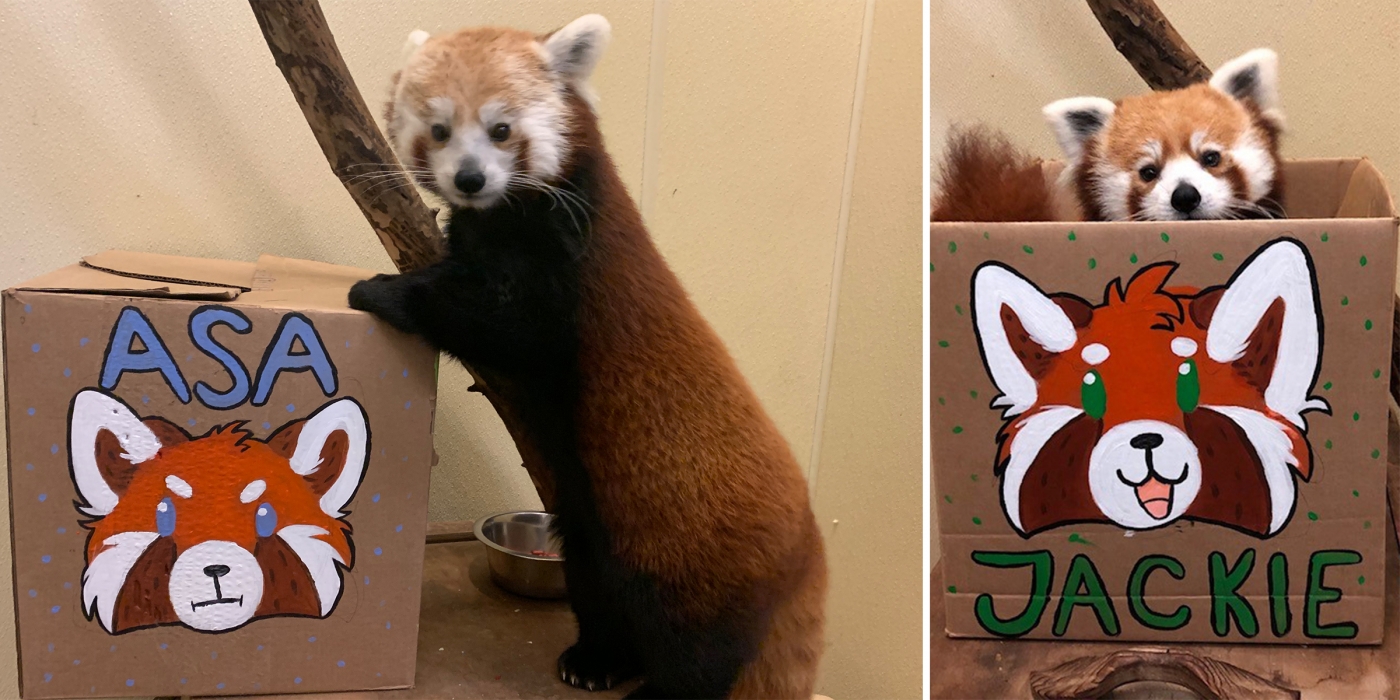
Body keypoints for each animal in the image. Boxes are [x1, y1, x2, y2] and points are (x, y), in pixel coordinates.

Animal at [350, 12, 823, 700]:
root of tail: (808, 547)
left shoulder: (564, 267)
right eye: (438, 130)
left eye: (501, 129)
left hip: (693, 555)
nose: (469, 179)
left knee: (700, 650)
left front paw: (384, 290)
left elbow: (506, 327)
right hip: (596, 535)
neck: (503, 216)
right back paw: (599, 659)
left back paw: (657, 687)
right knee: (600, 590)